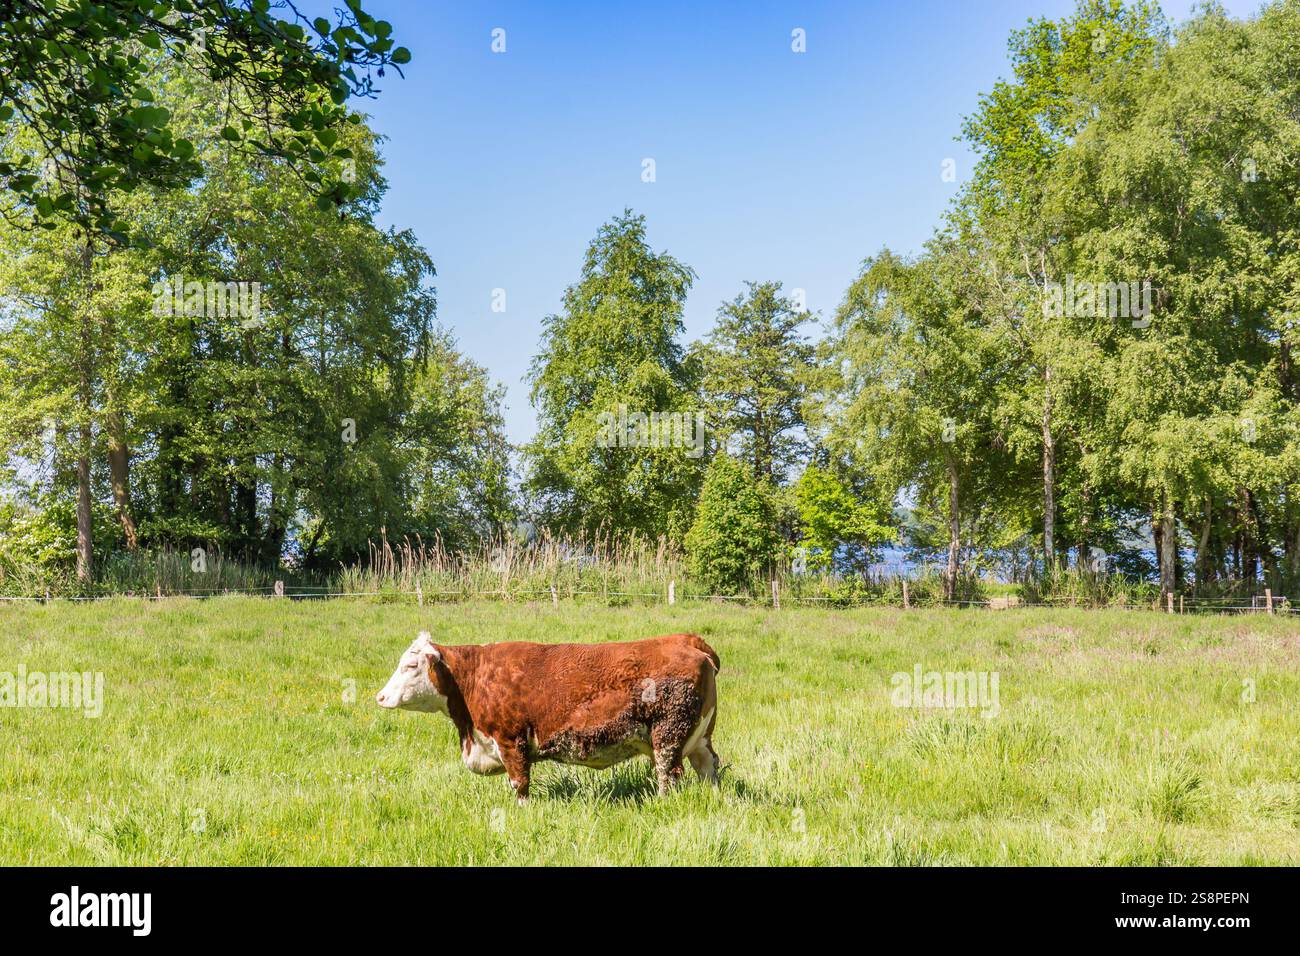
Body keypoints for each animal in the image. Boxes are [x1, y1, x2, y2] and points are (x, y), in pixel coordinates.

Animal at [376, 630, 721, 801]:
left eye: (410, 665)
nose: (380, 696)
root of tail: (685, 639)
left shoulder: (510, 740)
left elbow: (519, 783)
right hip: (700, 738)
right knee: (708, 768)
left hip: (668, 736)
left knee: (669, 775)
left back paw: (661, 804)